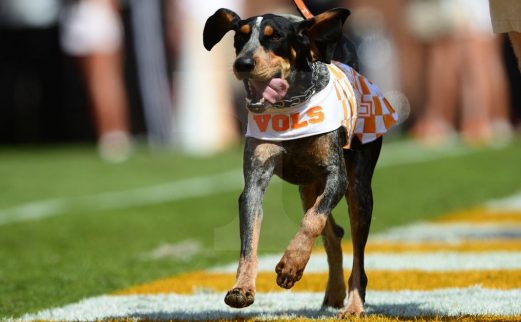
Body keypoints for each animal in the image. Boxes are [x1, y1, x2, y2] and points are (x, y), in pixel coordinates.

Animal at [203, 6, 386, 318]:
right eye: (239, 38)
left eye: (275, 37)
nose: (243, 64)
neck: (290, 106)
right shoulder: (254, 181)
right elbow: (249, 240)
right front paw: (242, 288)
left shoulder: (336, 175)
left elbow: (312, 220)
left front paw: (290, 265)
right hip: (308, 187)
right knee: (333, 233)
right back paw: (334, 292)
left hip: (359, 189)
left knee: (356, 255)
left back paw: (353, 305)